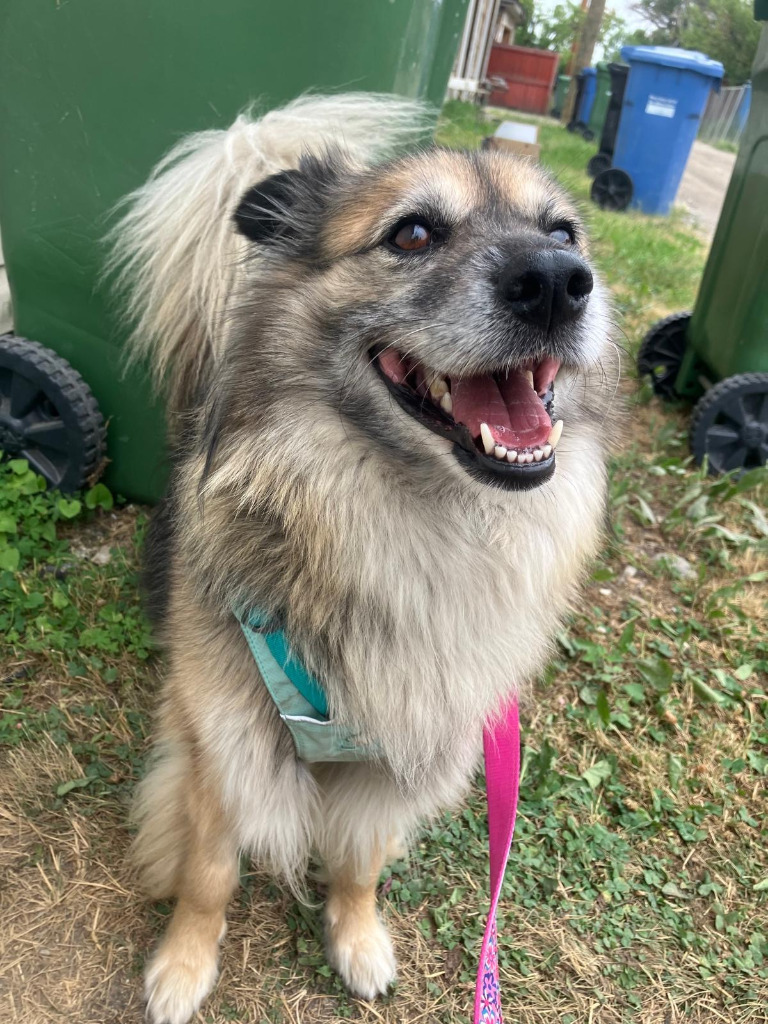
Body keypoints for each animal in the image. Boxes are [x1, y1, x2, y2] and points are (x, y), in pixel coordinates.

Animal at [108, 94, 618, 1024]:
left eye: (564, 233)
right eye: (412, 234)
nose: (559, 282)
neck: (409, 524)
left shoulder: (407, 749)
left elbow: (358, 861)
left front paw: (357, 938)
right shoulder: (224, 746)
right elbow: (209, 874)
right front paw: (183, 966)